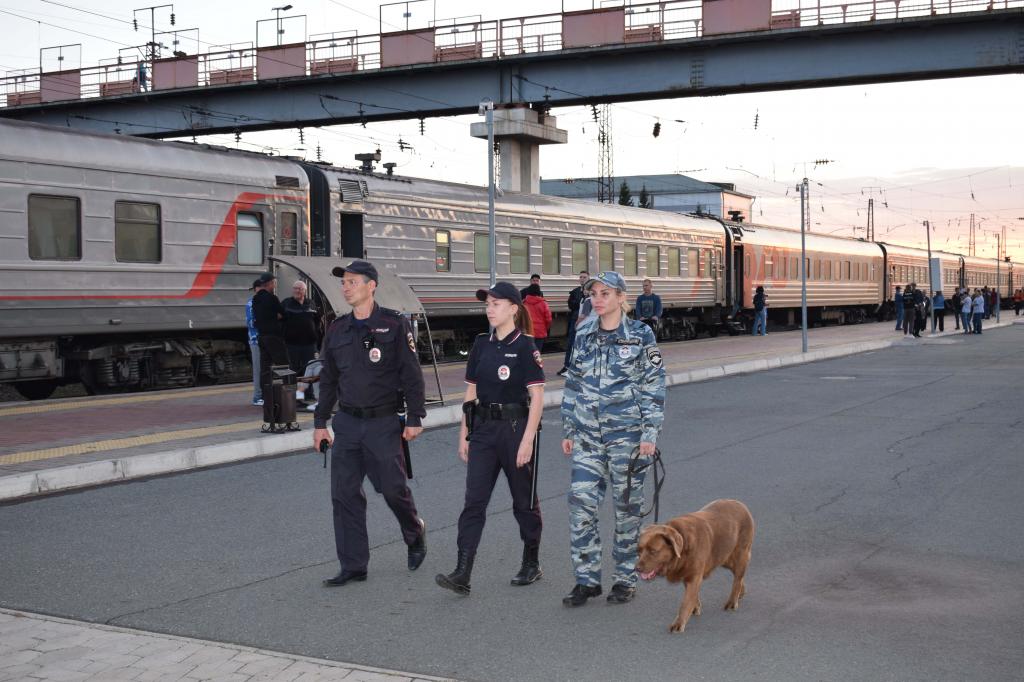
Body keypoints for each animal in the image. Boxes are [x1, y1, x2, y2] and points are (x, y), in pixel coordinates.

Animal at [634, 493, 757, 630]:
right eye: (638, 551)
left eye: (653, 551)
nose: (637, 568)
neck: (682, 550)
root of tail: (740, 504)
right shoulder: (688, 574)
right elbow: (693, 596)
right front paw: (695, 607)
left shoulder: (694, 576)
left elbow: (686, 602)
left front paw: (679, 624)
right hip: (724, 557)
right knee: (738, 575)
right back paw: (742, 591)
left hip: (740, 553)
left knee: (737, 578)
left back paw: (732, 601)